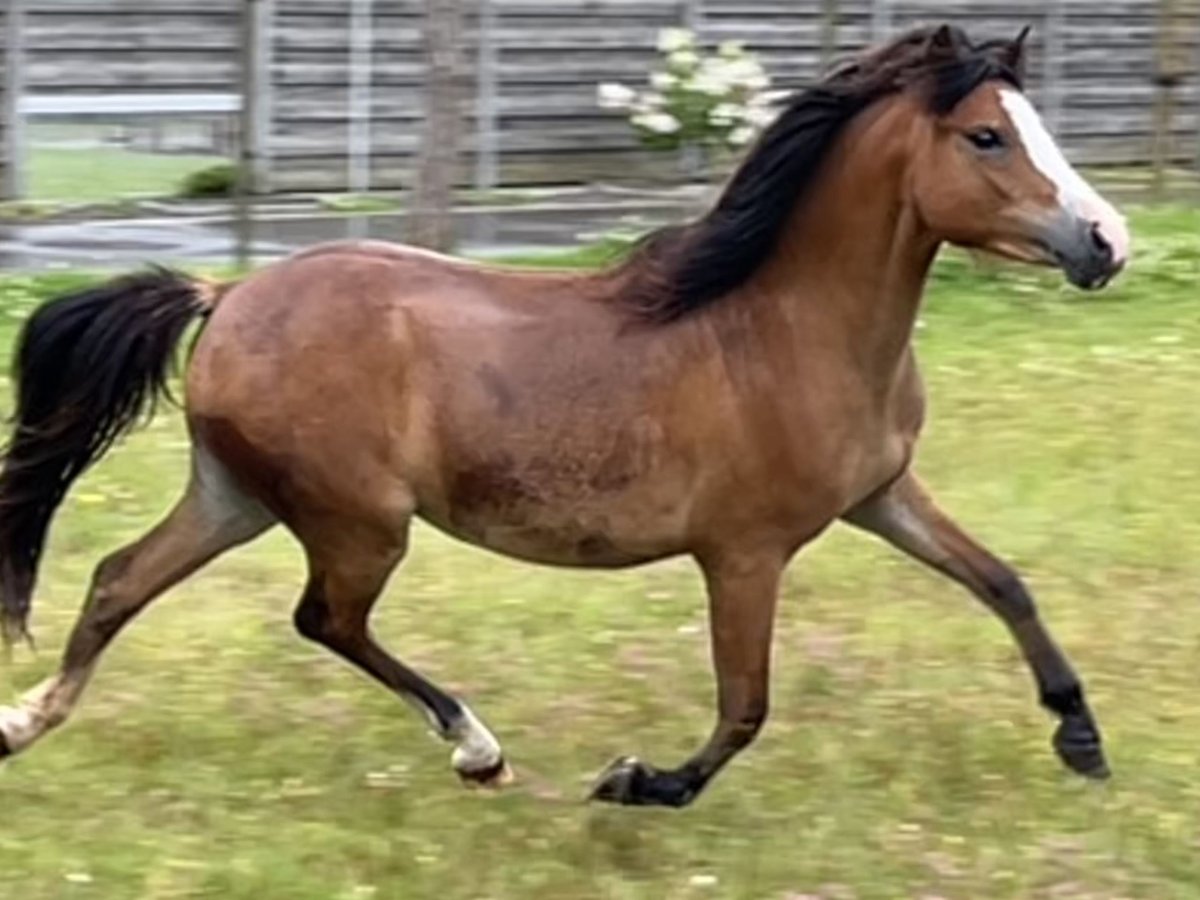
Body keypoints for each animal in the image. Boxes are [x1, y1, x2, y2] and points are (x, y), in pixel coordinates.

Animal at [0, 24, 1123, 811]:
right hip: (356, 520)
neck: (783, 328)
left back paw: (21, 722)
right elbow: (746, 705)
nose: (1105, 241)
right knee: (326, 619)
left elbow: (1002, 582)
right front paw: (638, 782)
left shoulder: (880, 495)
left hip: (237, 496)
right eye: (986, 135)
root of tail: (225, 296)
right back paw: (479, 750)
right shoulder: (746, 552)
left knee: (118, 581)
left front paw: (1083, 740)